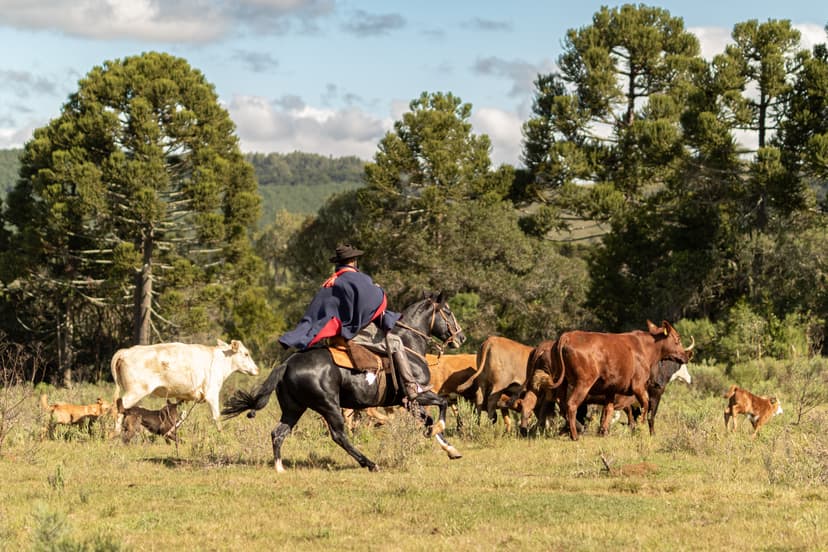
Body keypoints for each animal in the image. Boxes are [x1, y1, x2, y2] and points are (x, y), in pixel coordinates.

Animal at [111, 338, 258, 434]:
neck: (219, 360)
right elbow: (216, 416)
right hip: (135, 391)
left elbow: (181, 416)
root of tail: (126, 352)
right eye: (246, 353)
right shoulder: (212, 394)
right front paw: (221, 434)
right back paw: (116, 433)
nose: (257, 369)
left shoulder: (183, 397)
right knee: (119, 408)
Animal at [220, 294, 466, 470]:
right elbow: (441, 407)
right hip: (329, 406)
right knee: (339, 436)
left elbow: (429, 419)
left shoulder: (409, 403)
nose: (461, 337)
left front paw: (450, 449)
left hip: (294, 408)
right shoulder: (417, 396)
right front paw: (439, 431)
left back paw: (279, 467)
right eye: (448, 311)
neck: (408, 345)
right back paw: (370, 464)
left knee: (279, 433)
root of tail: (287, 364)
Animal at [532, 322, 692, 442]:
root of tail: (567, 336)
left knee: (561, 406)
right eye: (677, 339)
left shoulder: (611, 389)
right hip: (583, 383)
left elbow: (608, 410)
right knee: (571, 405)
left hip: (563, 383)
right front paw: (640, 429)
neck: (645, 348)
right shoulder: (638, 386)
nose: (686, 356)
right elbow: (645, 407)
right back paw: (575, 435)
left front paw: (603, 431)